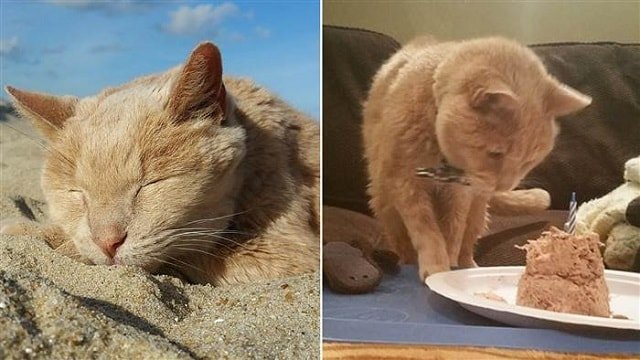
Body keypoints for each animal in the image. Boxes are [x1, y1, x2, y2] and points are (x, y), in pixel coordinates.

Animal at [362, 36, 592, 282]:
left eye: (528, 160)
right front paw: (436, 266)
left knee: (468, 241)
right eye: (496, 153)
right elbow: (426, 230)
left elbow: (452, 231)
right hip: (386, 205)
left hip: (477, 212)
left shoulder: (459, 195)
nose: (503, 186)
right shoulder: (405, 184)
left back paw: (469, 266)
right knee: (403, 242)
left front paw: (450, 268)